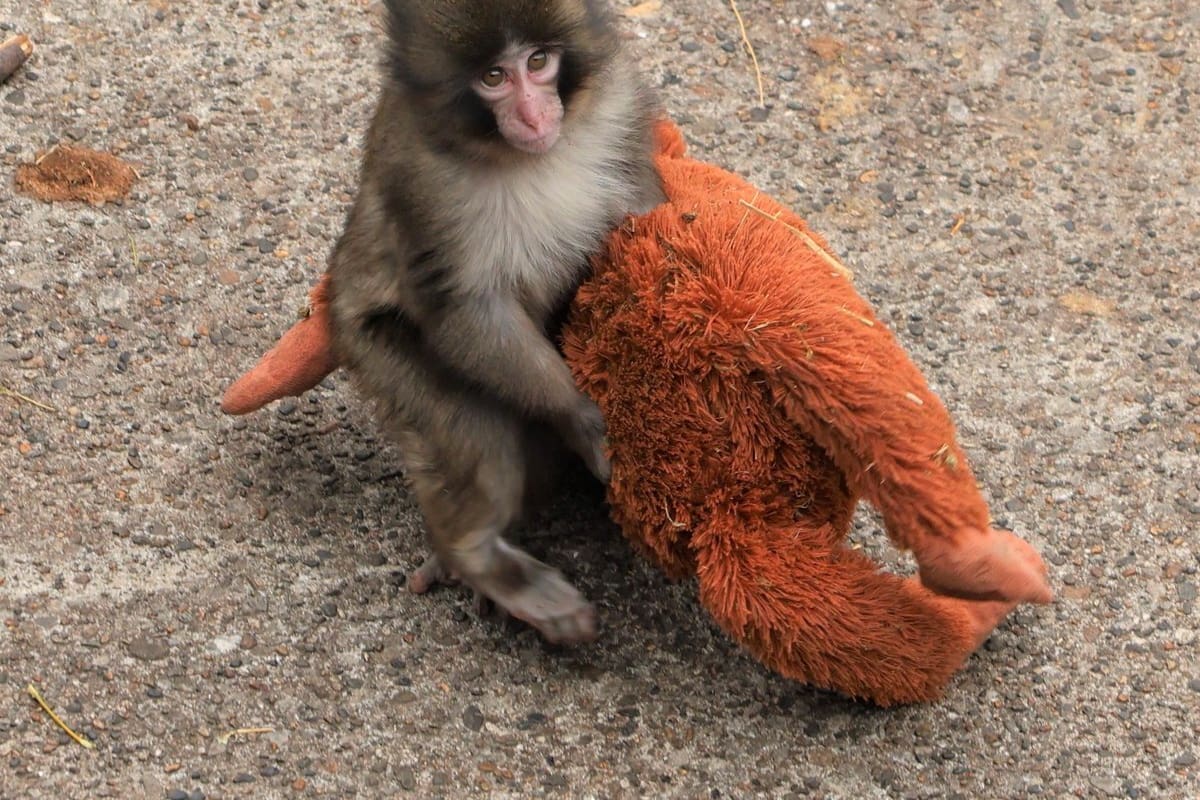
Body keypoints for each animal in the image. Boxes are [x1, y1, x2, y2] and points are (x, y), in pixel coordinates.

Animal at [326, 0, 665, 644]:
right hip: (376, 351)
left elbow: (646, 213)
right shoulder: (421, 178)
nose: (533, 115)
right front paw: (581, 417)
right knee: (480, 436)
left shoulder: (620, 109)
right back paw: (476, 555)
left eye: (537, 62)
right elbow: (465, 307)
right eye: (493, 78)